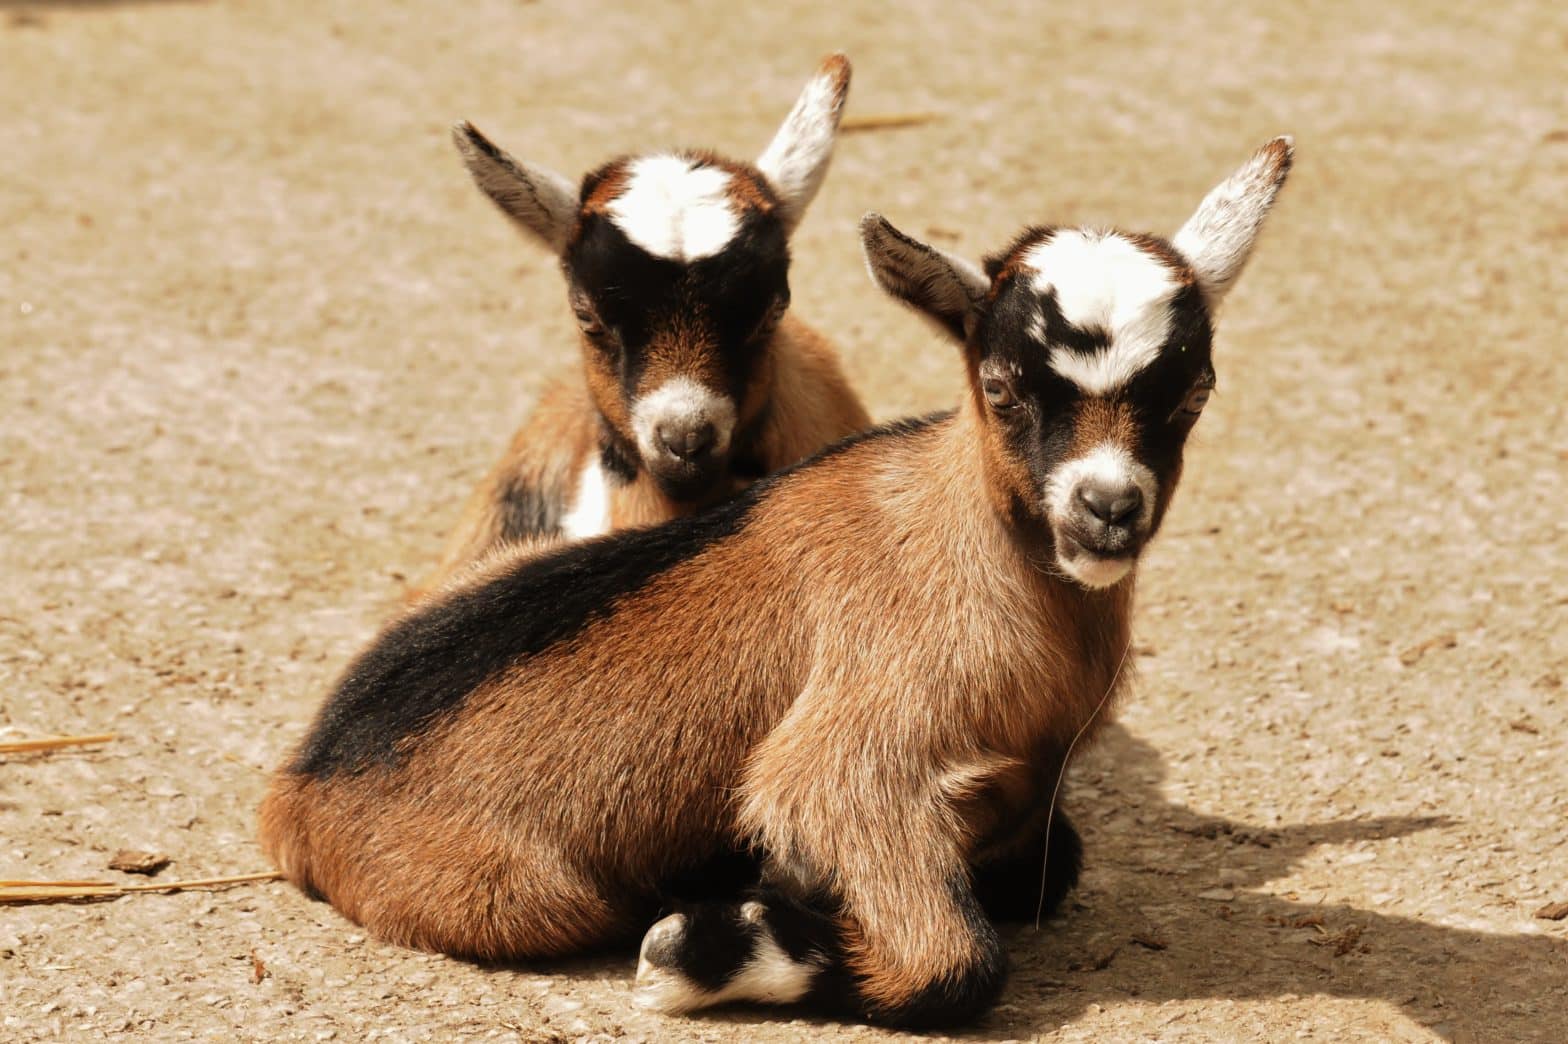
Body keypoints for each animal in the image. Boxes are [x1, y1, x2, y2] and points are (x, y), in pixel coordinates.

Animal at [257, 137, 1292, 1022]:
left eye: (1194, 394)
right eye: (1001, 388)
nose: (1107, 508)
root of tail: (301, 786)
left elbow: (1041, 868)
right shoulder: (849, 758)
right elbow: (954, 960)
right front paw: (698, 947)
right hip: (526, 893)